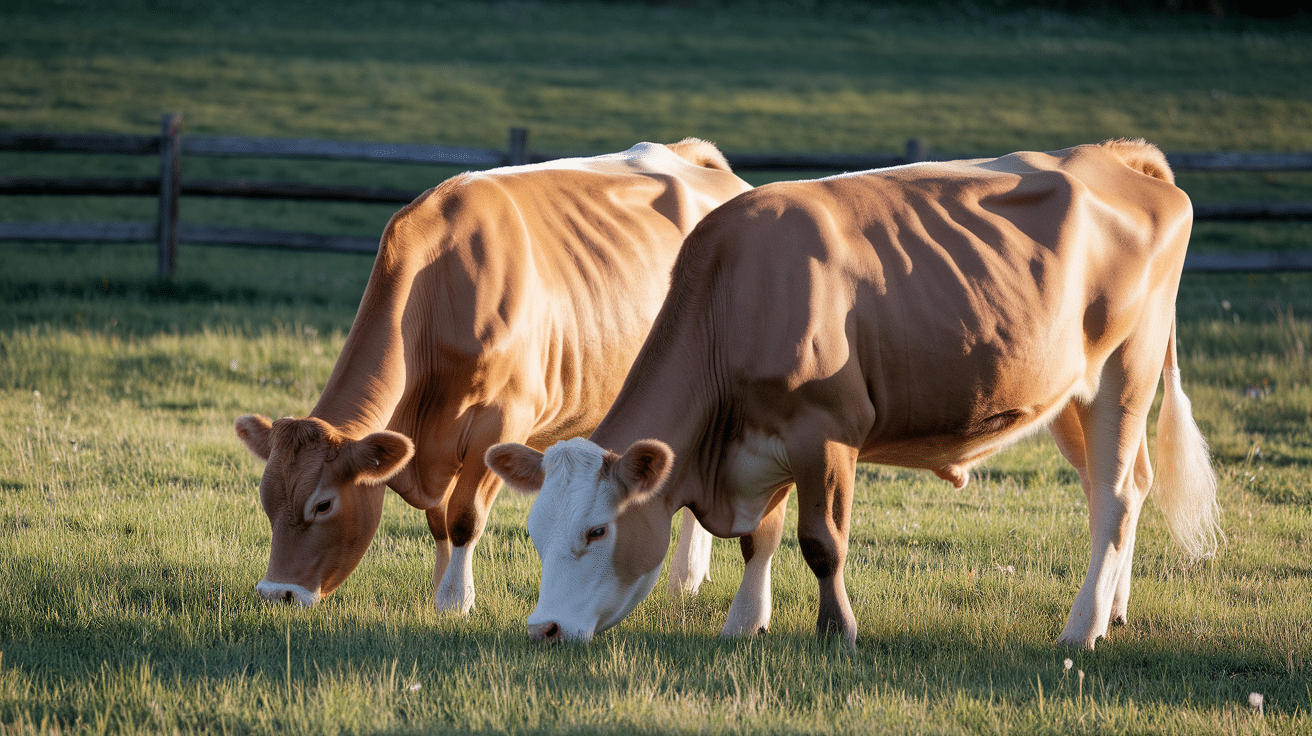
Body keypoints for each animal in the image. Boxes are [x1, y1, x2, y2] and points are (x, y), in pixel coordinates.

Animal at [234, 139, 751, 612]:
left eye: (323, 504)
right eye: (266, 500)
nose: (277, 593)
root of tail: (694, 155)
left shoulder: (501, 421)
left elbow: (463, 517)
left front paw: (456, 600)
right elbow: (439, 521)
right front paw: (439, 591)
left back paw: (685, 576)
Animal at [485, 139, 1221, 650]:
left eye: (597, 529)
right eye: (535, 531)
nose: (544, 629)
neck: (736, 294)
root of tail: (1117, 157)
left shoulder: (826, 432)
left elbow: (821, 542)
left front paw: (836, 631)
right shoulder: (765, 443)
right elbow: (762, 539)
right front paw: (744, 623)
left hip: (1124, 372)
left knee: (1116, 499)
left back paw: (1082, 628)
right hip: (1068, 394)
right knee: (1118, 488)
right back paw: (1114, 610)